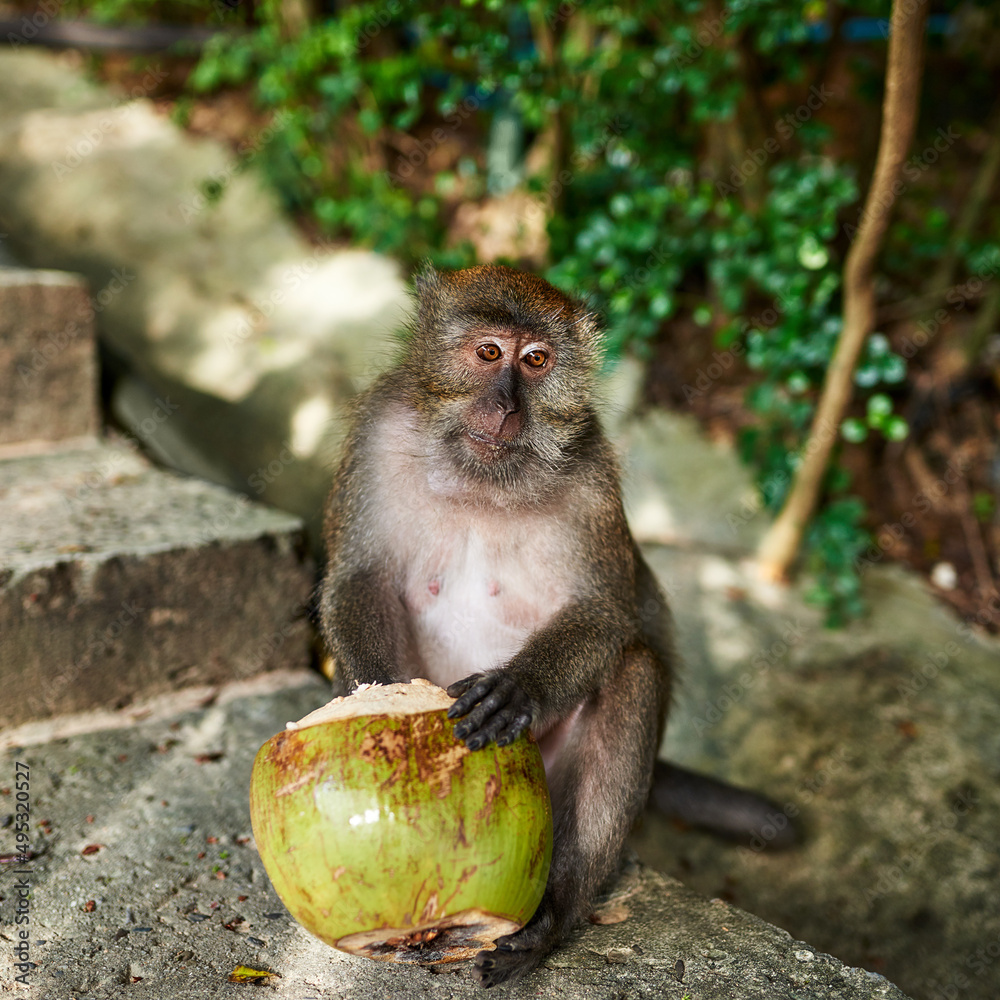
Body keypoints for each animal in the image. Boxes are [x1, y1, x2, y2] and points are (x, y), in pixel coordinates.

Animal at [318, 262, 788, 988]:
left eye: (536, 361)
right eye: (489, 353)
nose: (507, 407)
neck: (482, 482)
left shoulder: (592, 475)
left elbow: (606, 613)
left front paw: (519, 690)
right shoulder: (377, 432)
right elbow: (356, 579)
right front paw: (375, 700)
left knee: (632, 671)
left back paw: (553, 914)